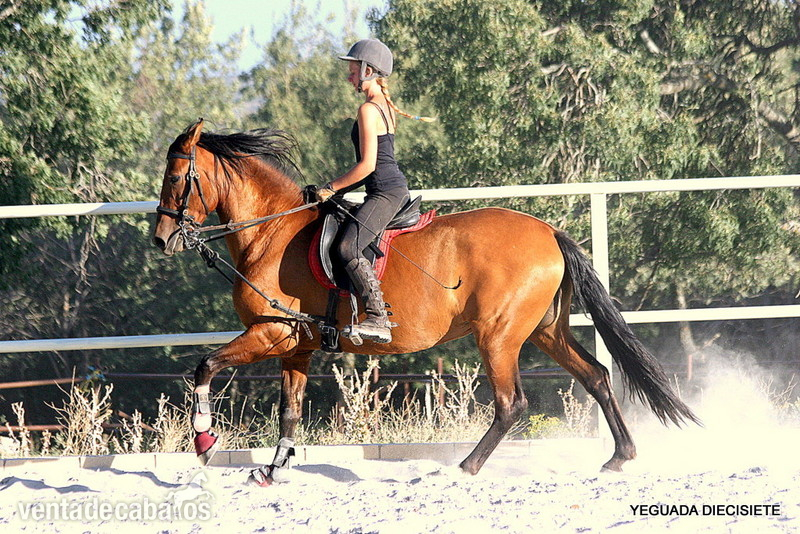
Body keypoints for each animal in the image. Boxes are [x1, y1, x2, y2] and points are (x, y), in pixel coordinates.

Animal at [153, 119, 699, 485]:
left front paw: (203, 443)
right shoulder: (297, 346)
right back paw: (619, 456)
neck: (271, 232)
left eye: (176, 179)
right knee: (597, 376)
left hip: (499, 336)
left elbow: (205, 365)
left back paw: (466, 467)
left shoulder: (270, 332)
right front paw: (270, 470)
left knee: (511, 404)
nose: (161, 239)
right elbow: (289, 412)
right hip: (545, 331)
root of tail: (548, 231)